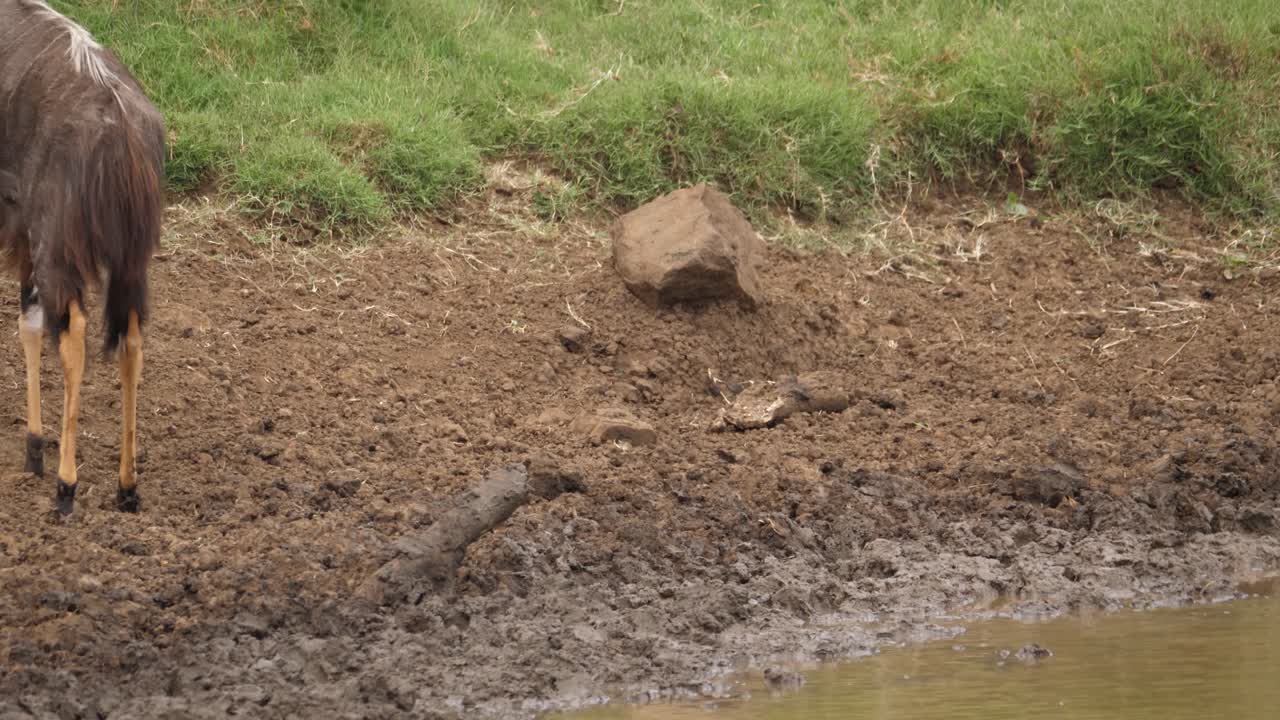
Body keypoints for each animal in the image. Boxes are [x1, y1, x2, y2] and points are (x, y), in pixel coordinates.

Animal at [0, 1, 165, 514]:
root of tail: (124, 134)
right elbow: (29, 322)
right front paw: (33, 447)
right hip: (131, 261)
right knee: (130, 336)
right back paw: (127, 487)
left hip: (57, 245)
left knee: (73, 336)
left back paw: (66, 486)